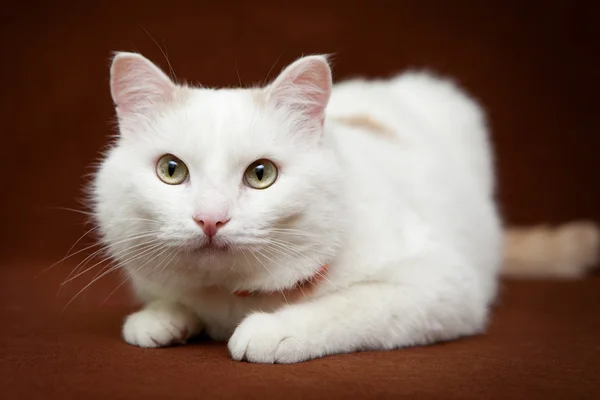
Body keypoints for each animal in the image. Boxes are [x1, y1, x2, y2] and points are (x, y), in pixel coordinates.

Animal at [91, 51, 596, 364]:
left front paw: (271, 331)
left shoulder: (444, 285)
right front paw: (159, 319)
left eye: (261, 174)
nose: (210, 218)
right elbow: (168, 300)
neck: (230, 297)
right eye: (171, 170)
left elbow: (349, 304)